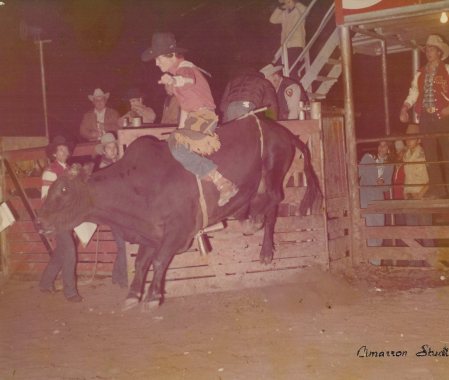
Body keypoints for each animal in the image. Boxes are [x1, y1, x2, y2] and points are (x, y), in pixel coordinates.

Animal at [36, 117, 320, 310]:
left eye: (64, 189)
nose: (41, 222)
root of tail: (280, 130)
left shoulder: (178, 230)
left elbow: (160, 261)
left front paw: (153, 296)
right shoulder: (150, 232)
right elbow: (142, 262)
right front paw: (133, 294)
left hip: (273, 169)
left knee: (274, 201)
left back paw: (262, 242)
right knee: (265, 204)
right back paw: (257, 232)